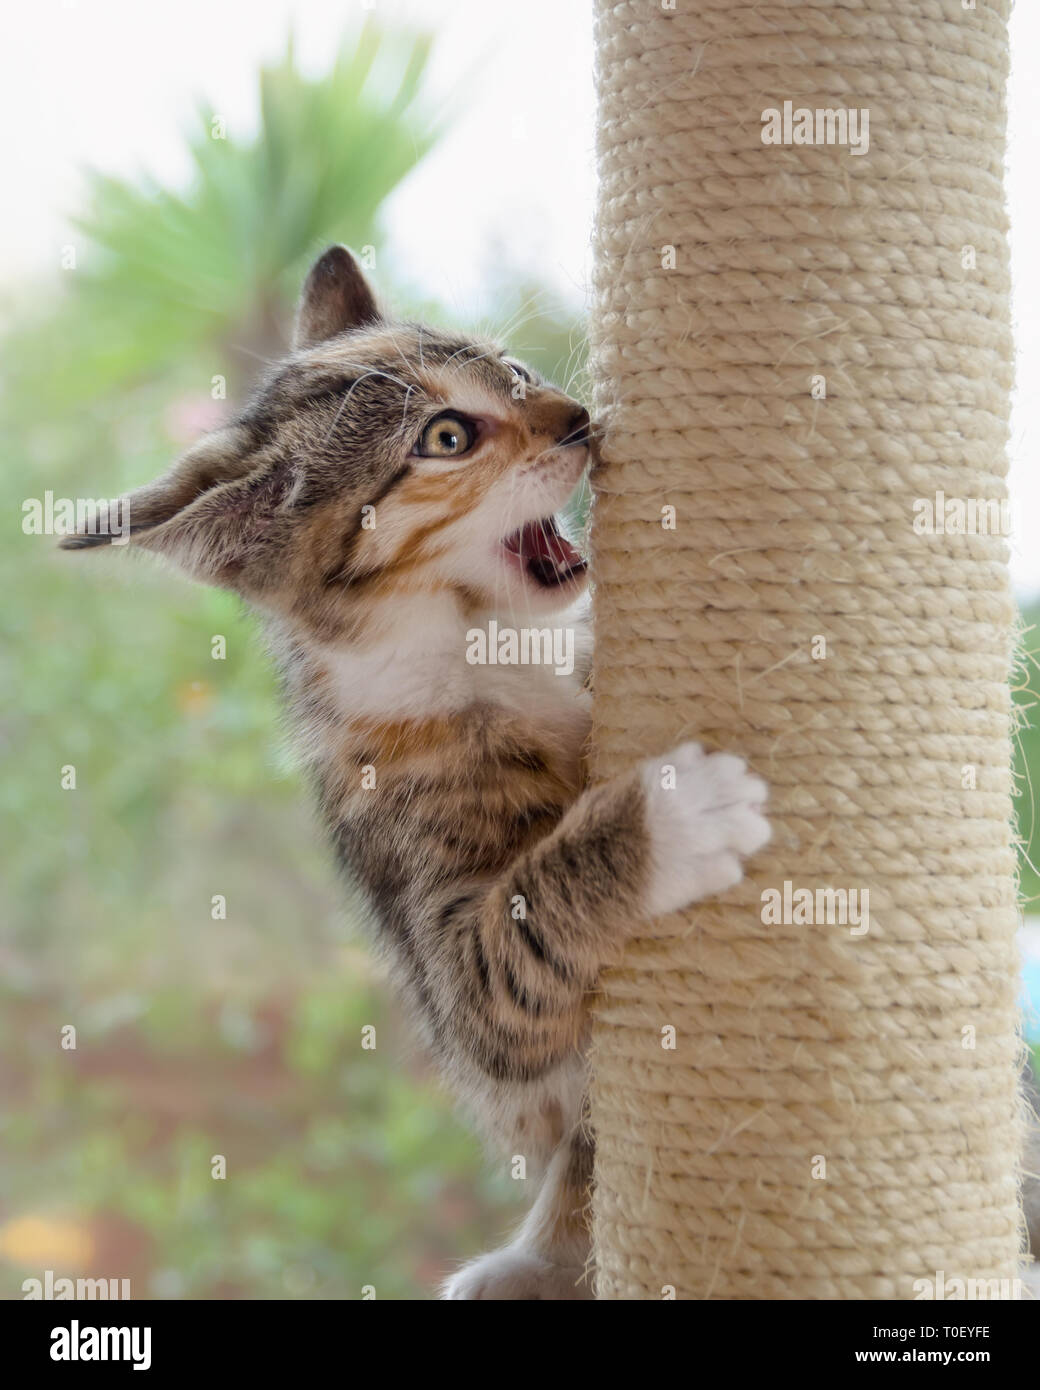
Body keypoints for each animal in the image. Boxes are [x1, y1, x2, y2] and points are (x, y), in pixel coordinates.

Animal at [62, 244, 761, 1295]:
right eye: (446, 436)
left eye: (513, 370)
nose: (576, 417)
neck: (488, 650)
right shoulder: (452, 960)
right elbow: (519, 952)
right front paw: (675, 815)